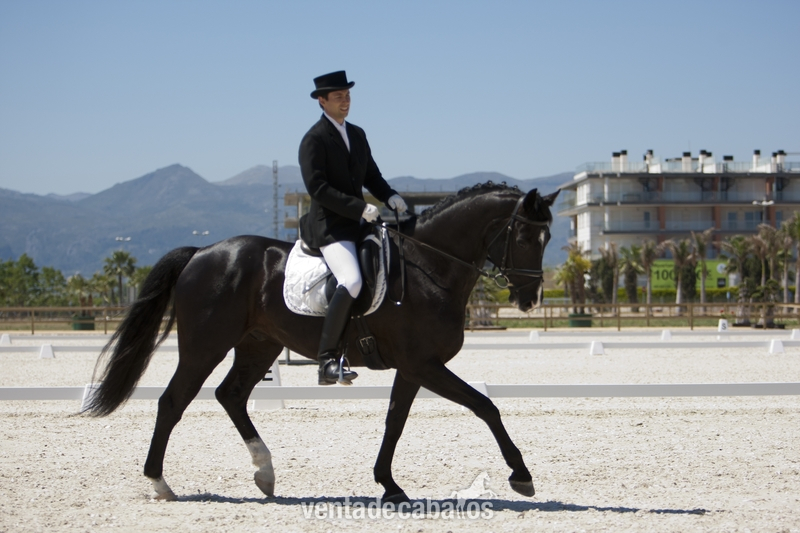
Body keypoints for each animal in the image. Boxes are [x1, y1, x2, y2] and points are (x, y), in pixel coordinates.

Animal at [84, 182, 559, 503]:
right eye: (524, 237)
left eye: (548, 238)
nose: (530, 299)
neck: (429, 266)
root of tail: (201, 252)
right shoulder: (423, 364)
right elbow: (485, 406)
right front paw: (521, 475)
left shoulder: (413, 368)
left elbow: (395, 421)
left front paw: (389, 485)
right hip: (206, 346)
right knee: (173, 400)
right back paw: (160, 482)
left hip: (259, 345)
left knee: (230, 395)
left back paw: (265, 473)